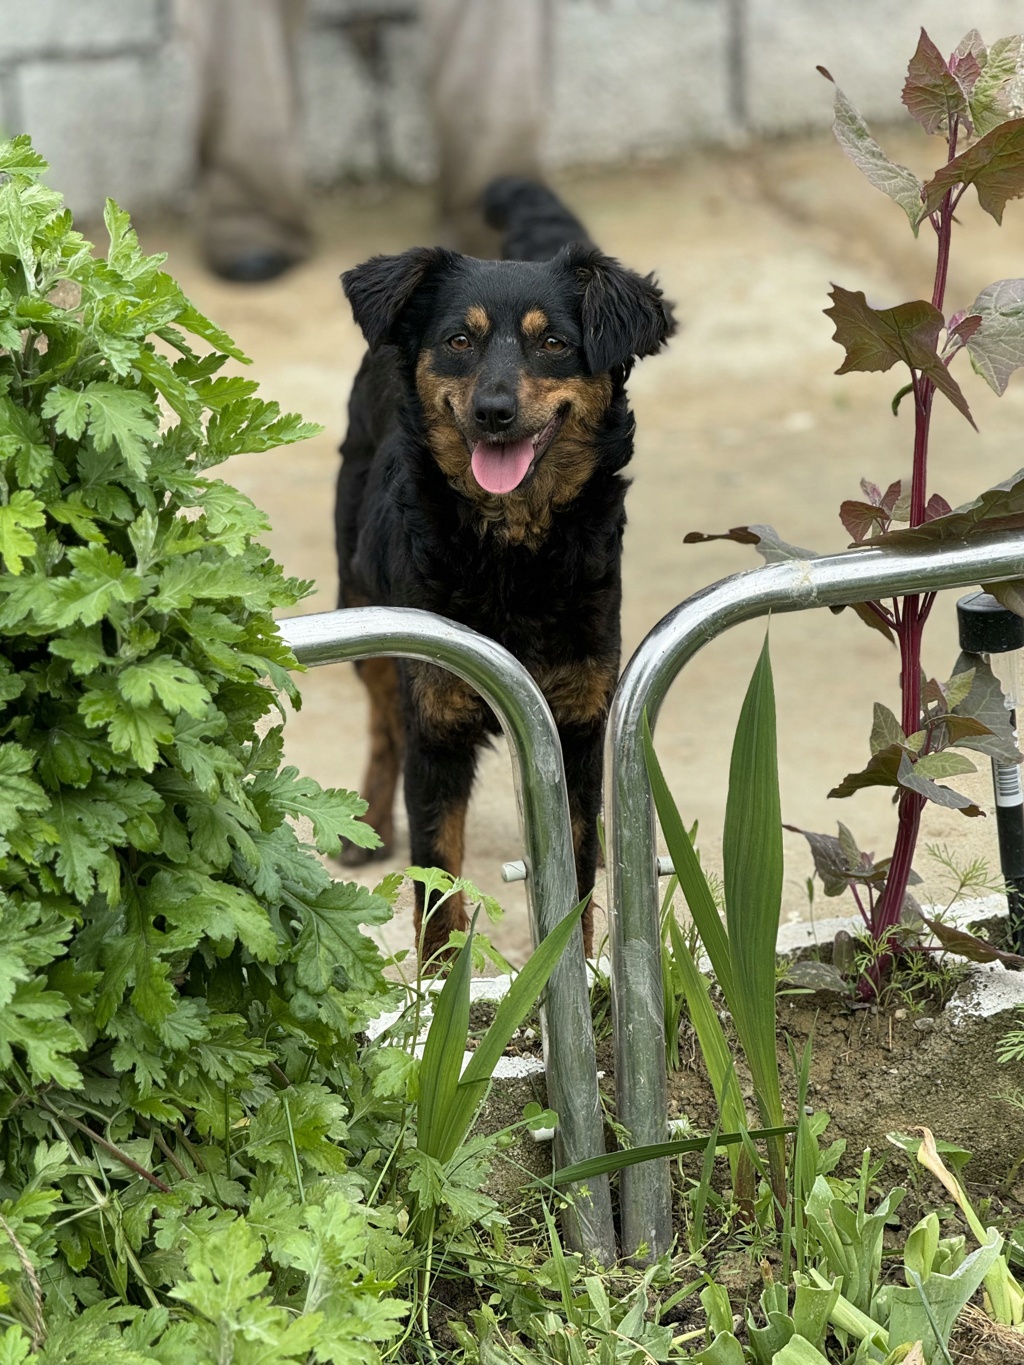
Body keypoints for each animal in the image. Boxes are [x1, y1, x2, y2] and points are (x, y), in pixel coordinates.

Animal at [334, 178, 674, 960]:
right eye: (459, 340)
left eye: (554, 343)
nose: (493, 411)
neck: (511, 549)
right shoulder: (436, 721)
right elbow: (436, 873)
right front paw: (441, 980)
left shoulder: (577, 722)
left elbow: (578, 865)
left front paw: (584, 968)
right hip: (358, 600)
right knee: (379, 717)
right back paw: (369, 820)